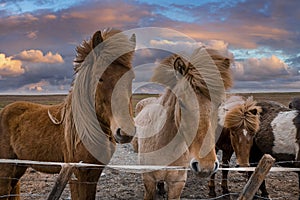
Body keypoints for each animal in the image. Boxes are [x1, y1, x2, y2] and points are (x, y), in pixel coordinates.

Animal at [0, 28, 136, 200]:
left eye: (131, 78)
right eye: (100, 78)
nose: (125, 132)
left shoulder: (93, 174)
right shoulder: (77, 174)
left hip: (18, 167)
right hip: (6, 170)